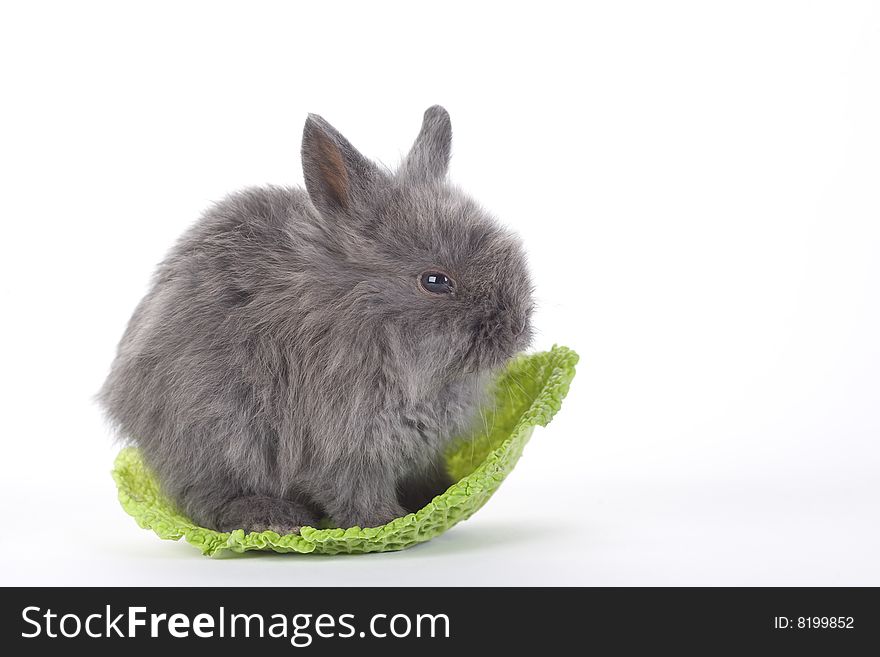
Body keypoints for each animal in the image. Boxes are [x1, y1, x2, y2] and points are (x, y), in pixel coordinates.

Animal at [99, 104, 532, 532]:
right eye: (435, 281)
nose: (515, 330)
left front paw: (439, 493)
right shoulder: (344, 446)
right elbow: (354, 492)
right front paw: (386, 521)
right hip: (212, 439)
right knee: (205, 502)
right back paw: (272, 518)